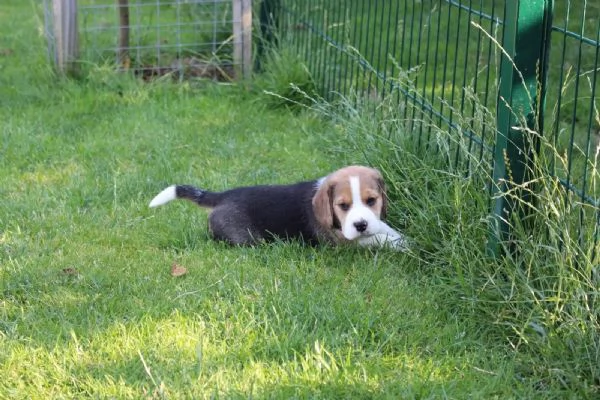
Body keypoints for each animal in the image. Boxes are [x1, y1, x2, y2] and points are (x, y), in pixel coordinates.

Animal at [148, 166, 406, 250]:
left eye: (371, 201)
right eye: (342, 206)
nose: (361, 224)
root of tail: (223, 195)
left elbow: (385, 230)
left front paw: (402, 238)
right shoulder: (345, 243)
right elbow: (378, 240)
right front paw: (404, 246)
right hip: (248, 240)